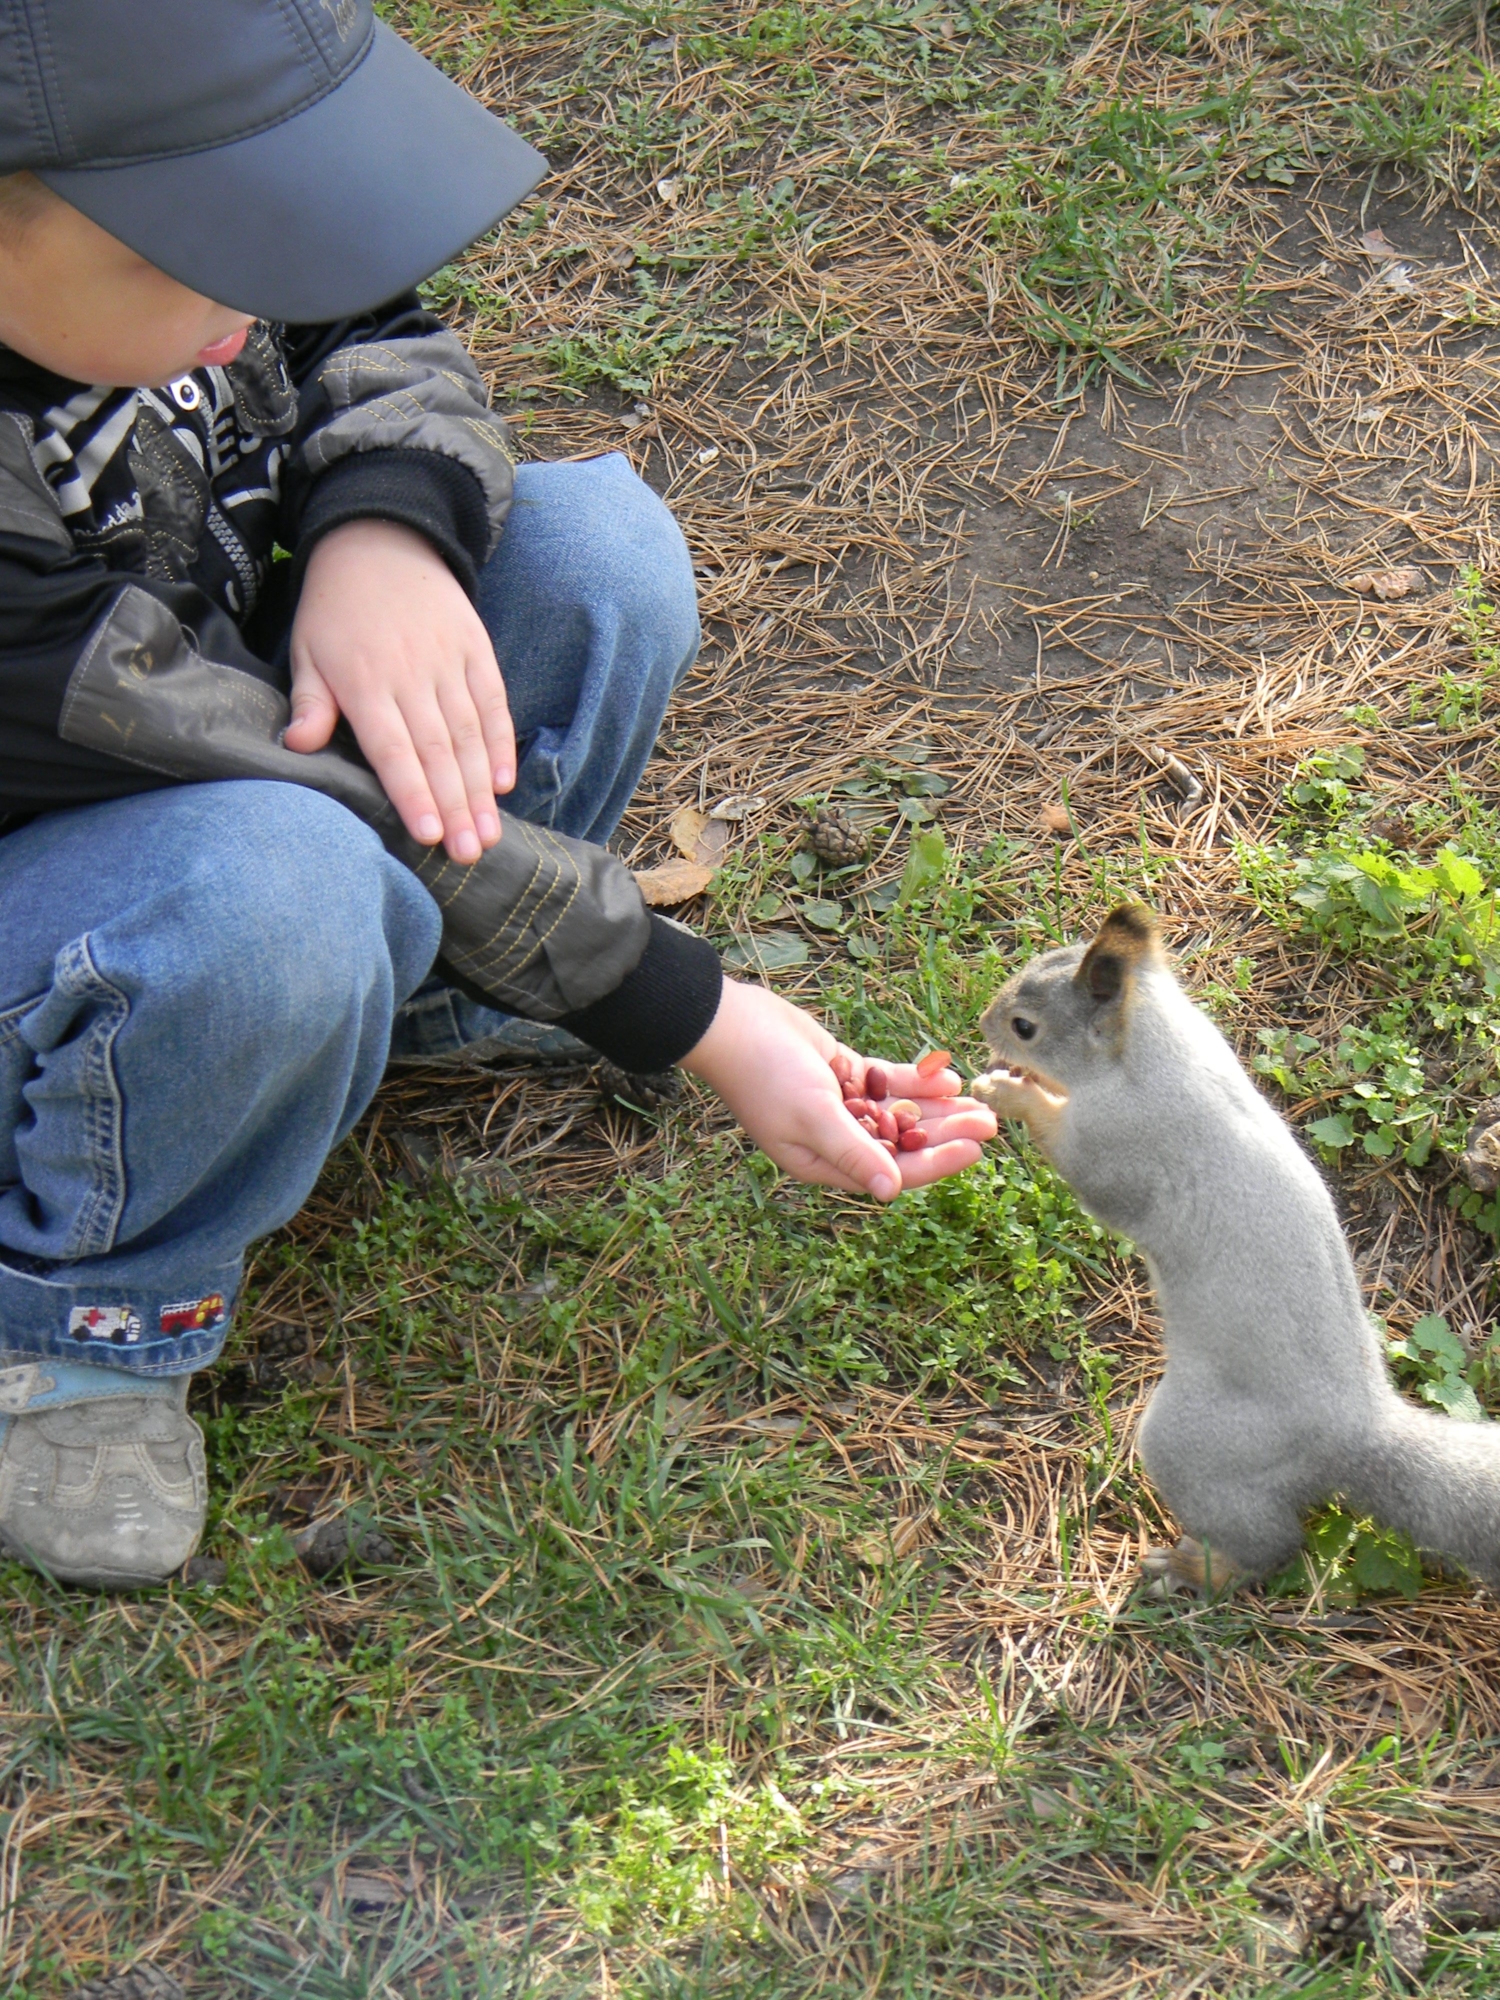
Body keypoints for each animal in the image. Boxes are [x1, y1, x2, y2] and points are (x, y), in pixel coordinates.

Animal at [968, 908, 1500, 1592]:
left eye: (1025, 1027)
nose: (985, 1022)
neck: (1158, 1054)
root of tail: (1355, 1434)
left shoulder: (1125, 1143)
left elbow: (1091, 1174)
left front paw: (1012, 1091)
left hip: (1199, 1444)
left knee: (1270, 1547)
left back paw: (1196, 1567)